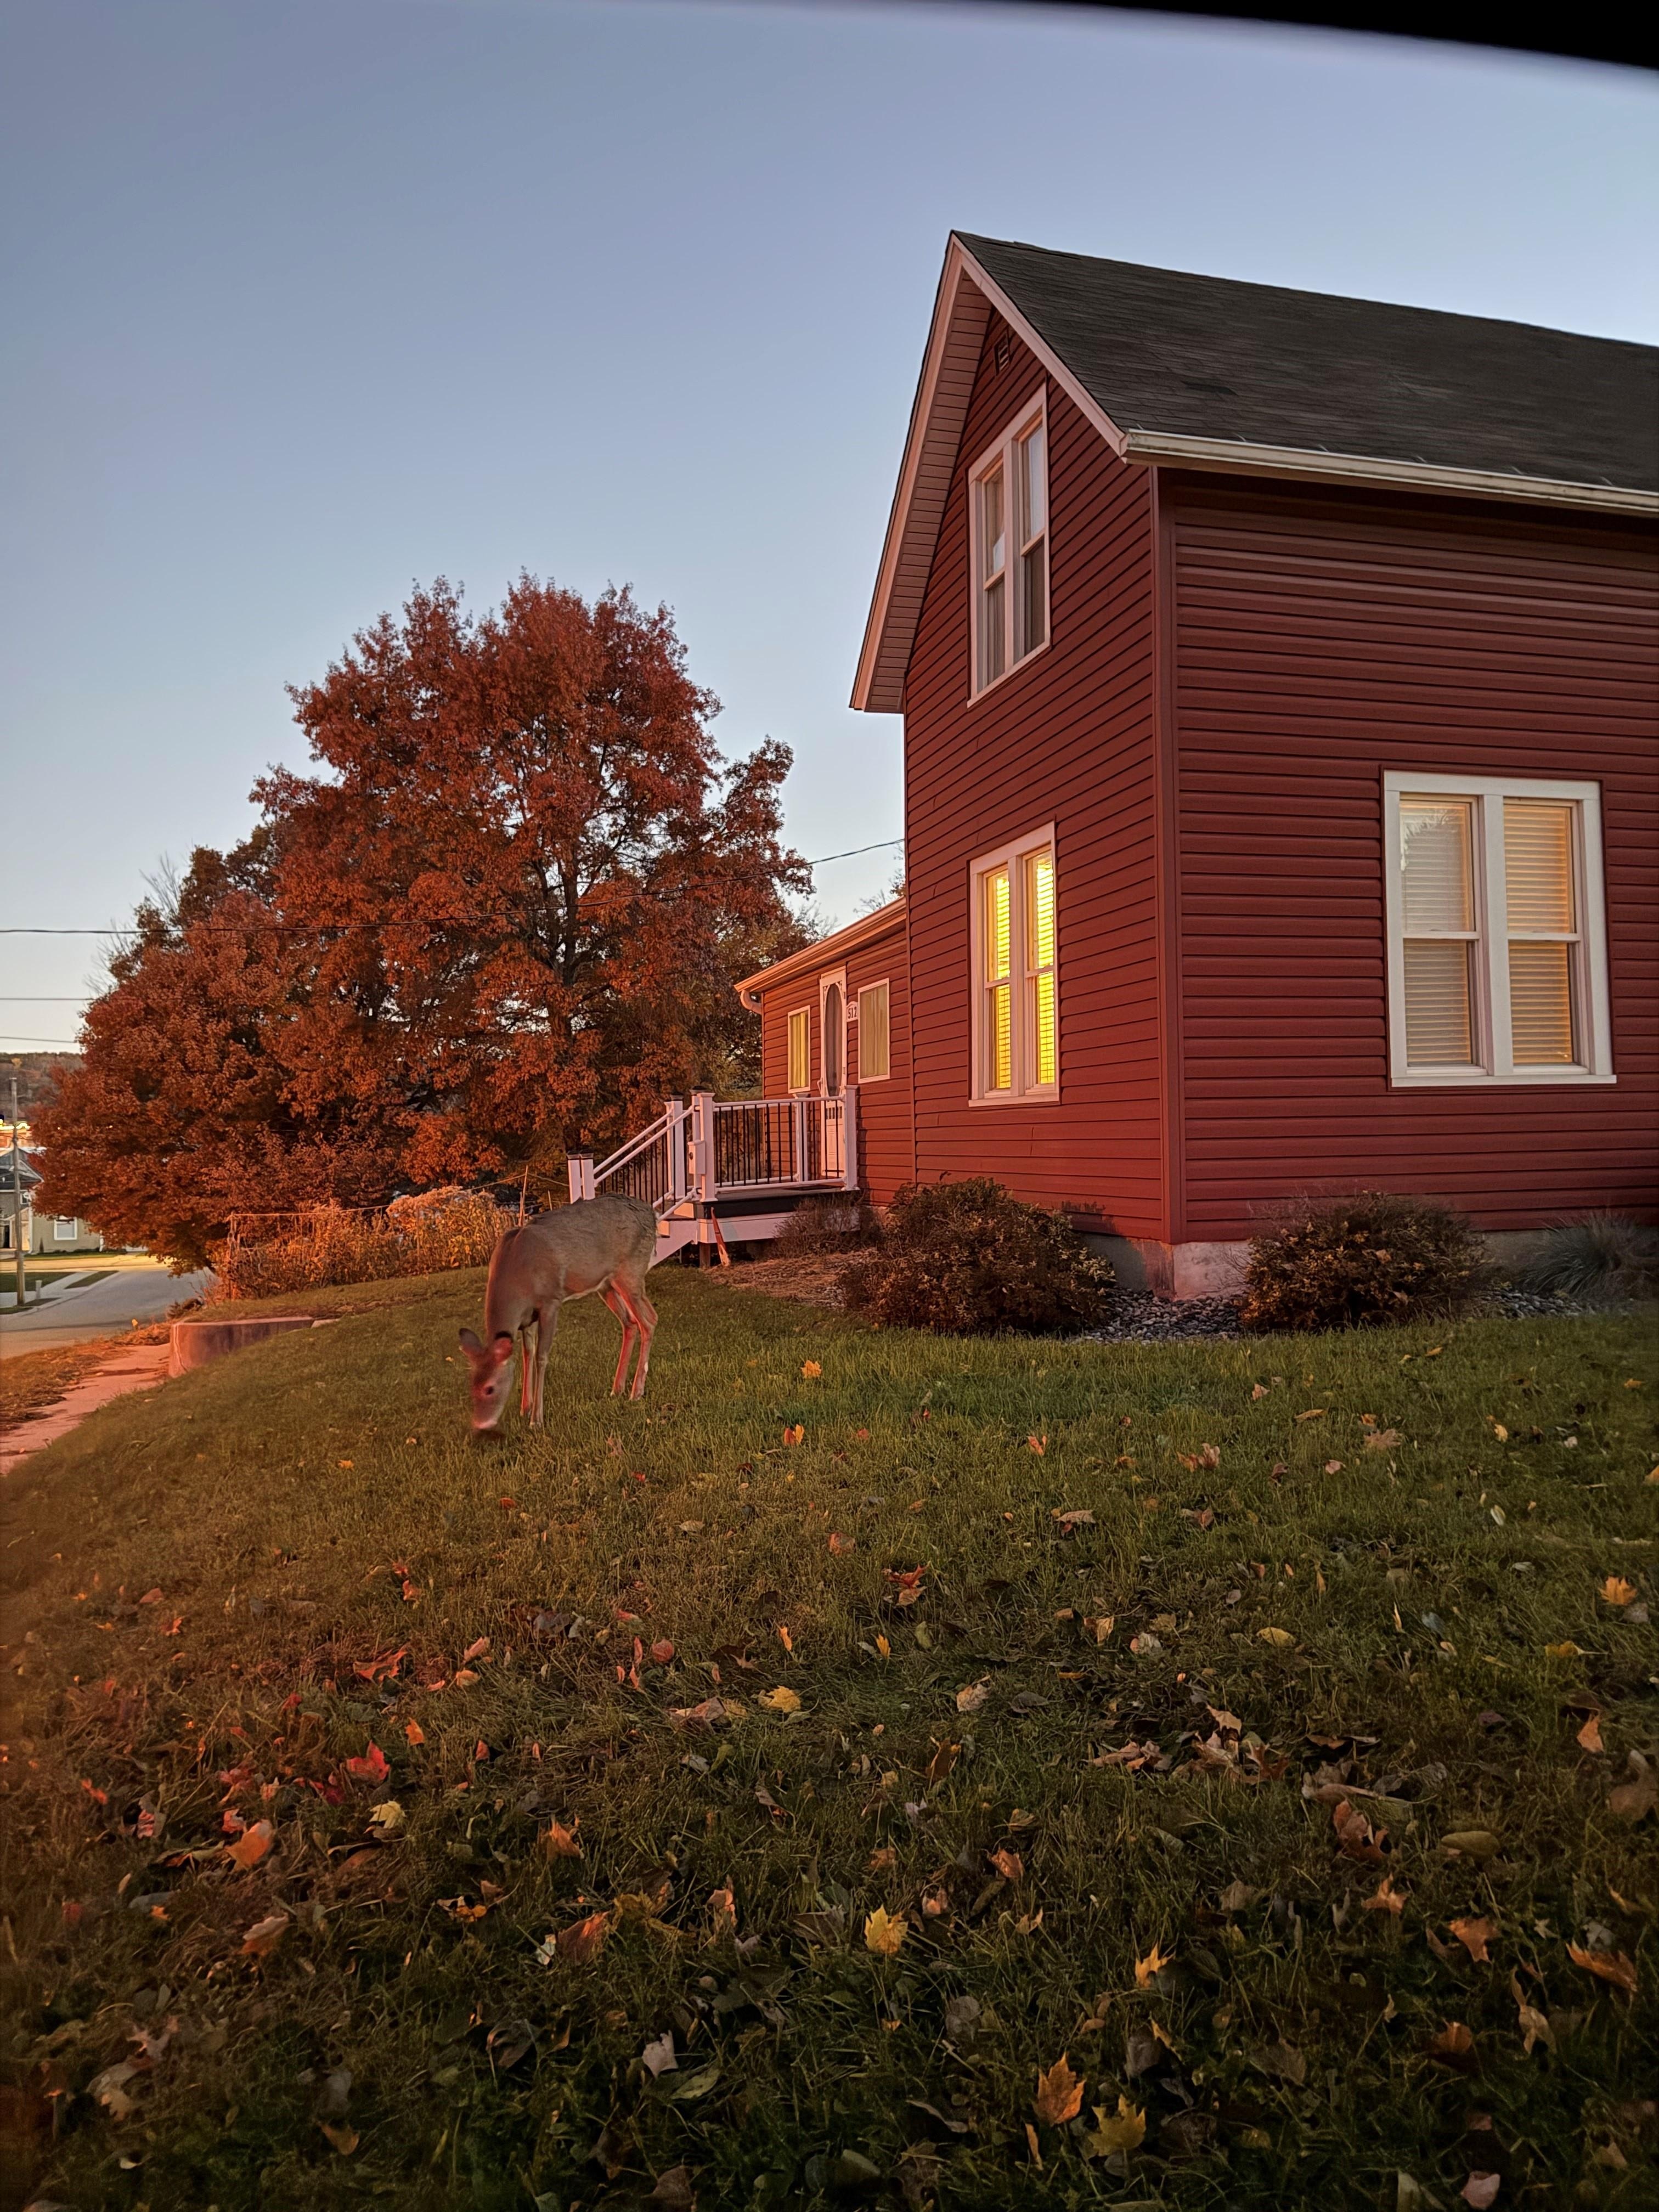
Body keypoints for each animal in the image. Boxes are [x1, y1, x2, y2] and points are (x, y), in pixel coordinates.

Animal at [458, 1194, 659, 1434]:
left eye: (490, 1388)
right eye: (471, 1386)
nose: (481, 1424)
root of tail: (651, 1215)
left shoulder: (550, 1301)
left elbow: (541, 1357)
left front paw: (536, 1419)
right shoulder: (528, 1318)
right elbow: (527, 1354)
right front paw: (525, 1408)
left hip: (631, 1272)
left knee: (649, 1320)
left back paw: (636, 1392)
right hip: (606, 1285)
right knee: (629, 1322)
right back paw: (616, 1389)